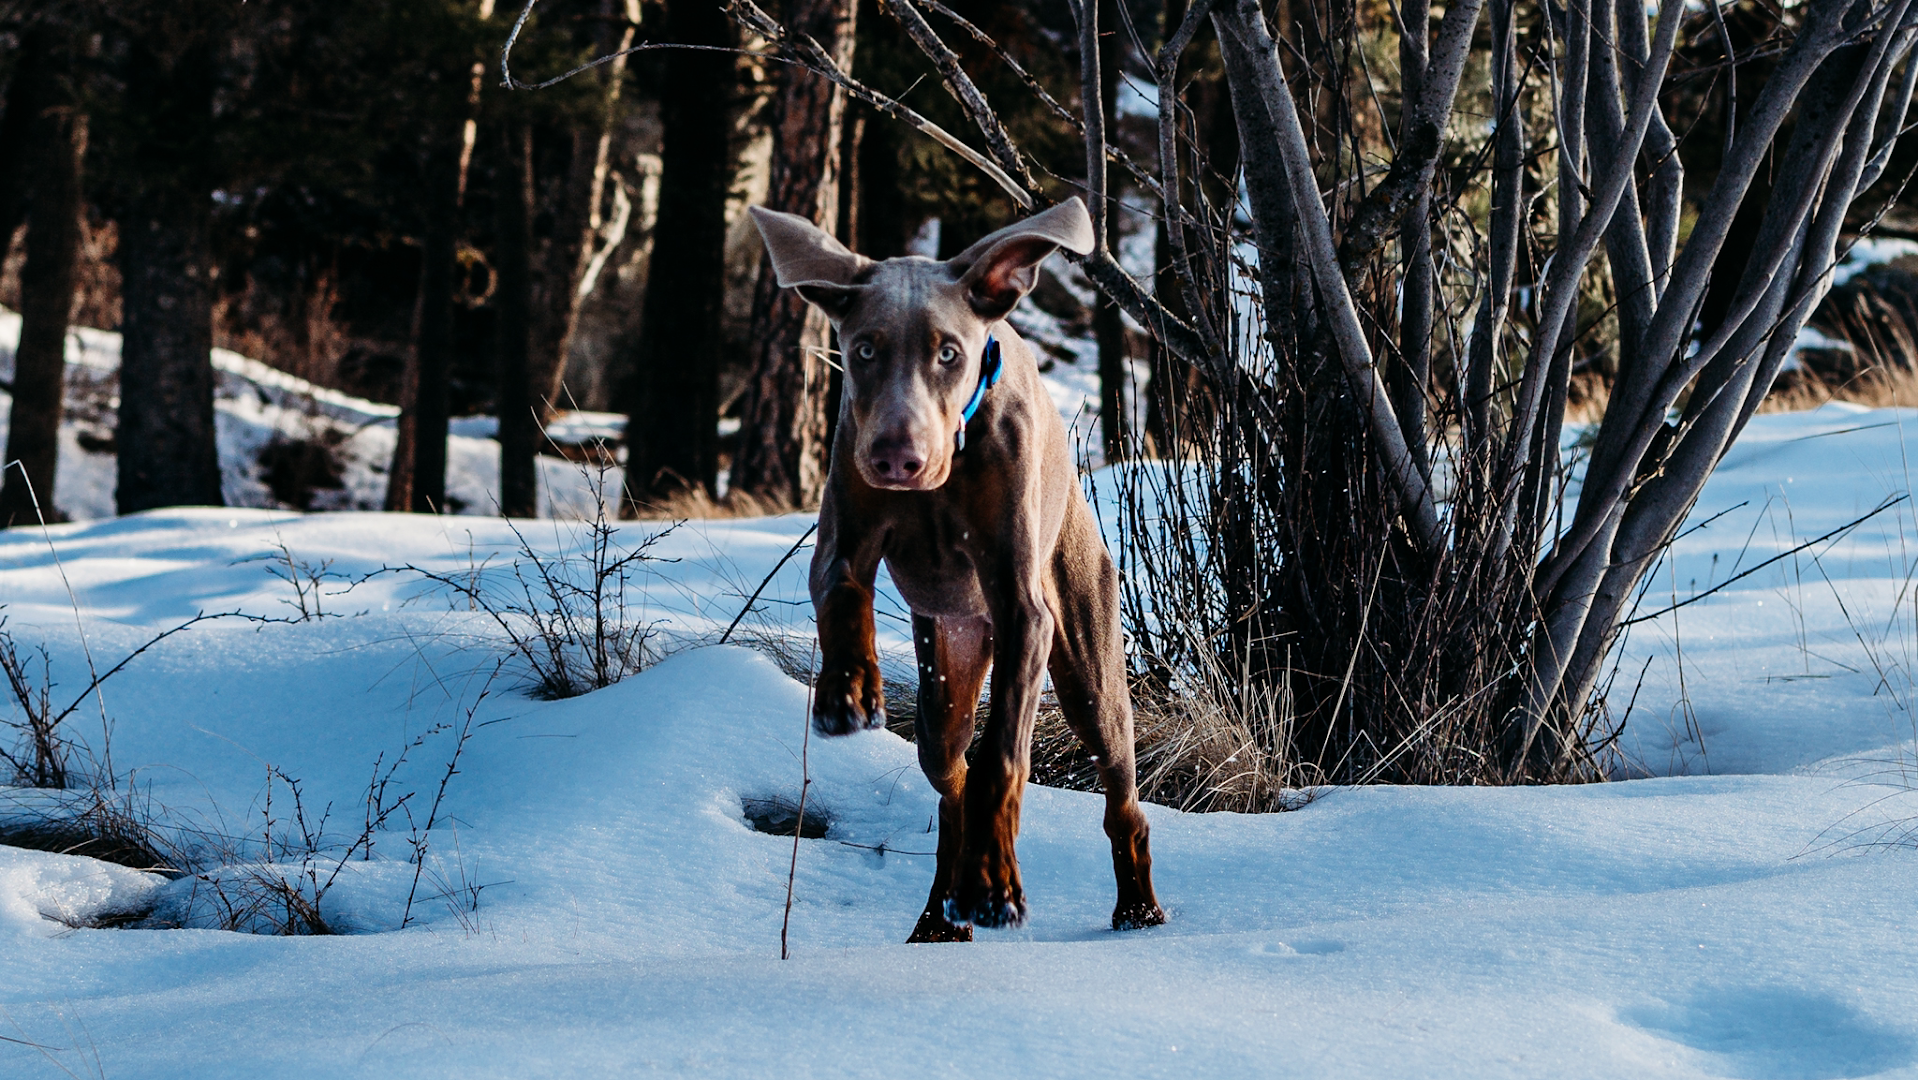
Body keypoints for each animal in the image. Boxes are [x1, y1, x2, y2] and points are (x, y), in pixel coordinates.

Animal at [748, 198, 1166, 943]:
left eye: (949, 353)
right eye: (864, 350)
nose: (896, 457)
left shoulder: (1022, 608)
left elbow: (1004, 758)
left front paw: (995, 889)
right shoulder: (843, 531)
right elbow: (839, 588)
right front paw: (846, 692)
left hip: (1089, 673)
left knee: (1120, 798)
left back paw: (1136, 909)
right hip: (947, 663)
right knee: (950, 775)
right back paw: (940, 916)